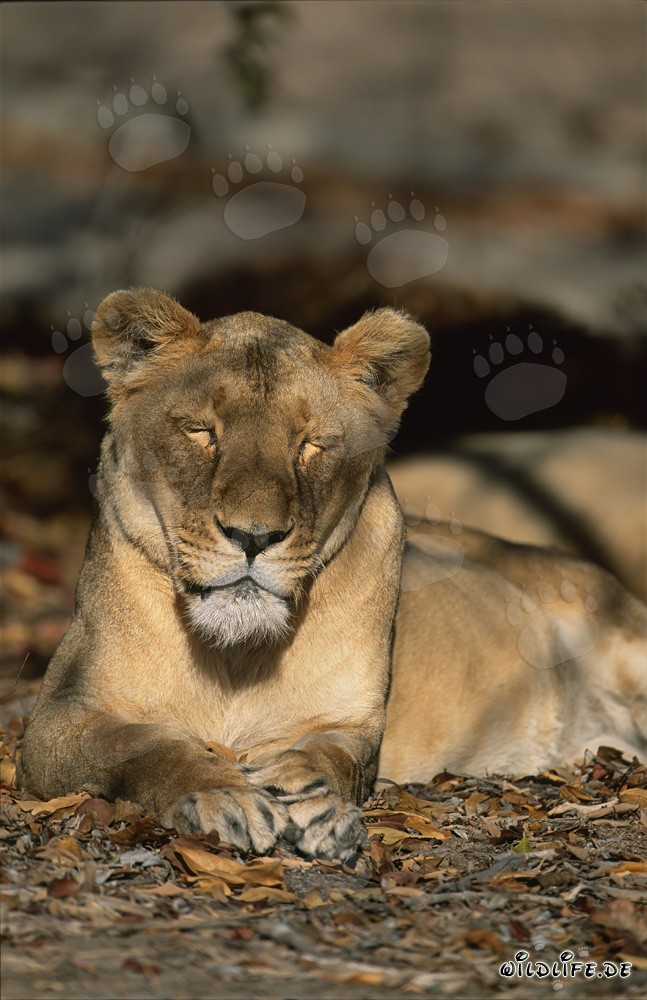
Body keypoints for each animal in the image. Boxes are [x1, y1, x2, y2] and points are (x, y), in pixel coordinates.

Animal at [18, 288, 647, 861]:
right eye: (201, 430)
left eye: (312, 443)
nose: (253, 537)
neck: (235, 658)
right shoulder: (57, 718)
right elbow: (146, 745)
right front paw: (225, 796)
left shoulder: (353, 722)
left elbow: (328, 756)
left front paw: (307, 798)